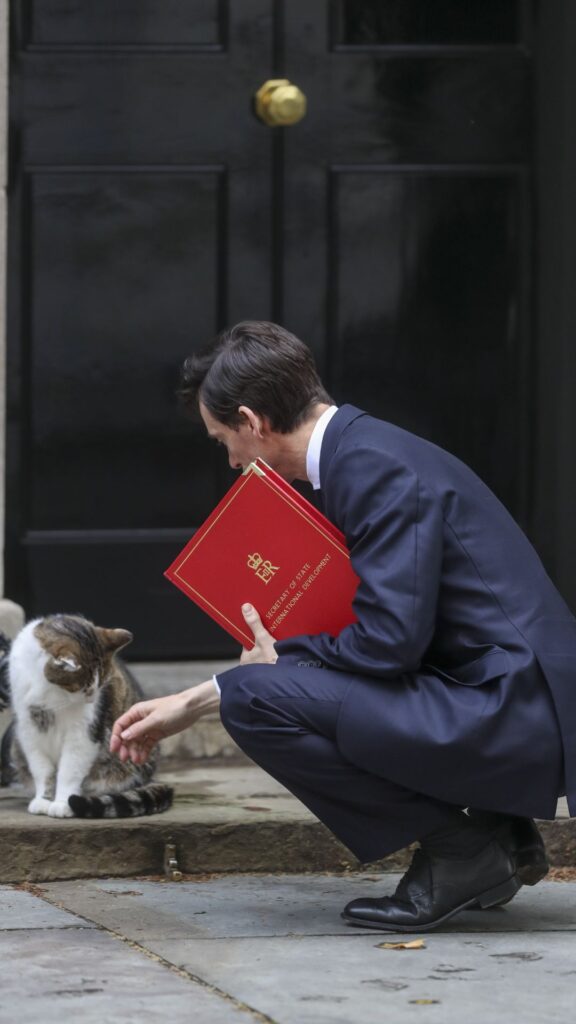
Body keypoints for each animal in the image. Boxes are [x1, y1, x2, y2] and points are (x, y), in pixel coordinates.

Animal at [2, 610, 172, 819]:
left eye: (101, 684)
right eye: (82, 687)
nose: (91, 699)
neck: (49, 691)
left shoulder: (83, 732)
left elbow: (69, 771)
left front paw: (62, 803)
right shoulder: (29, 730)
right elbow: (42, 771)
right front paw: (43, 800)